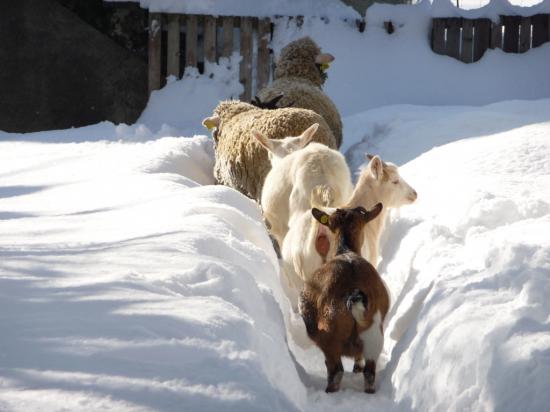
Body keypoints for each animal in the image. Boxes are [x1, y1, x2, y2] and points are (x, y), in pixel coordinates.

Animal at [302, 204, 392, 394]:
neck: (345, 250)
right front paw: (357, 367)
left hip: (329, 335)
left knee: (336, 371)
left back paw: (330, 390)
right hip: (374, 337)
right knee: (369, 373)